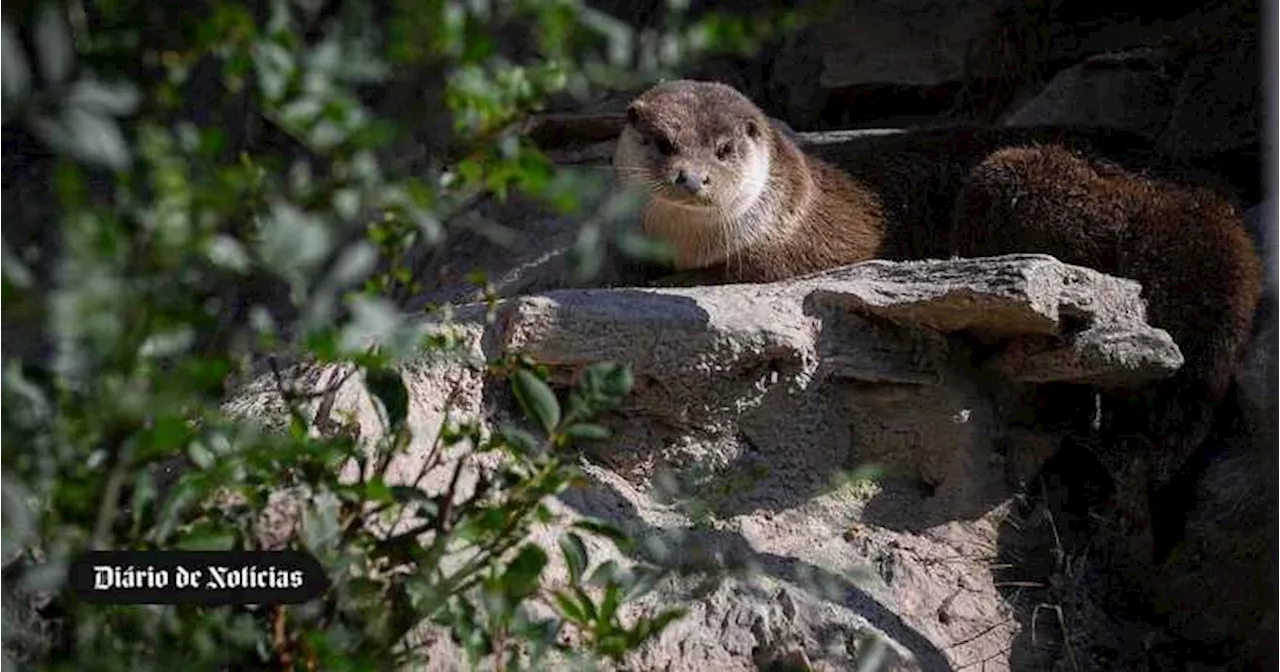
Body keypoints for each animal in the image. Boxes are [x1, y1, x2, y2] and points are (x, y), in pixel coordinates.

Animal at [614, 80, 1264, 555]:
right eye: (664, 143)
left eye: (724, 149)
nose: (691, 177)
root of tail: (1202, 197)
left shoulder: (820, 241)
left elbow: (743, 271)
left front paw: (657, 282)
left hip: (1015, 179)